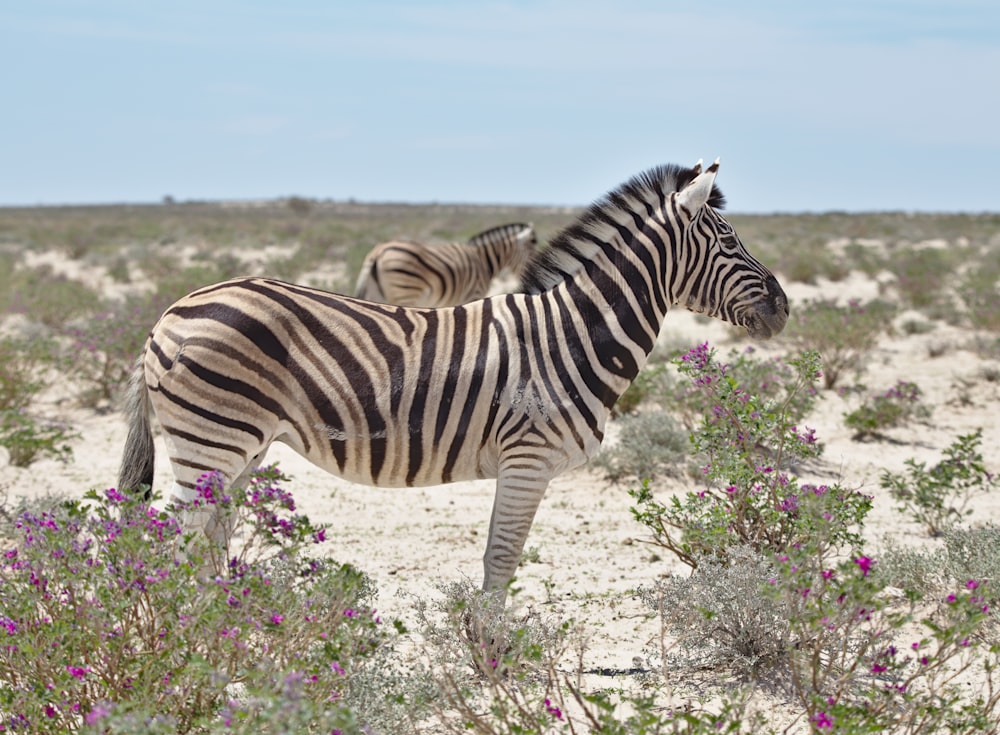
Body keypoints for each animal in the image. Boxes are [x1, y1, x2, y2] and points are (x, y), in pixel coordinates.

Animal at [354, 221, 540, 308]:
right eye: (532, 252)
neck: (485, 261)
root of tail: (378, 252)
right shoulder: (474, 294)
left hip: (376, 293)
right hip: (405, 291)